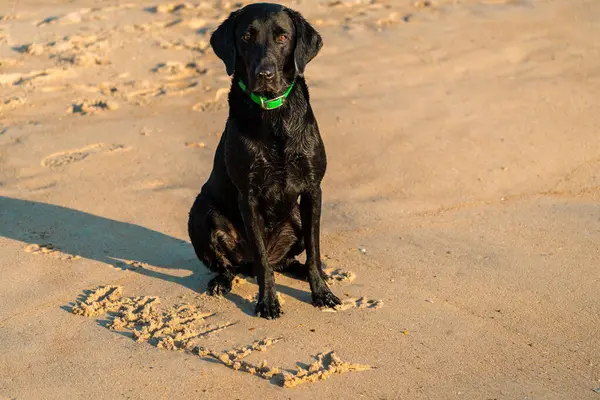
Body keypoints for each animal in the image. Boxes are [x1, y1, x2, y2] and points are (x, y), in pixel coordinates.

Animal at [188, 2, 340, 318]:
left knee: (290, 260)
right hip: (201, 210)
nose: (265, 73)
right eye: (246, 37)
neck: (273, 115)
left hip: (296, 216)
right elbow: (261, 262)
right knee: (236, 265)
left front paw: (322, 292)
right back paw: (221, 282)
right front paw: (268, 302)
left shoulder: (312, 190)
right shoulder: (249, 197)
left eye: (283, 37)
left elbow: (314, 250)